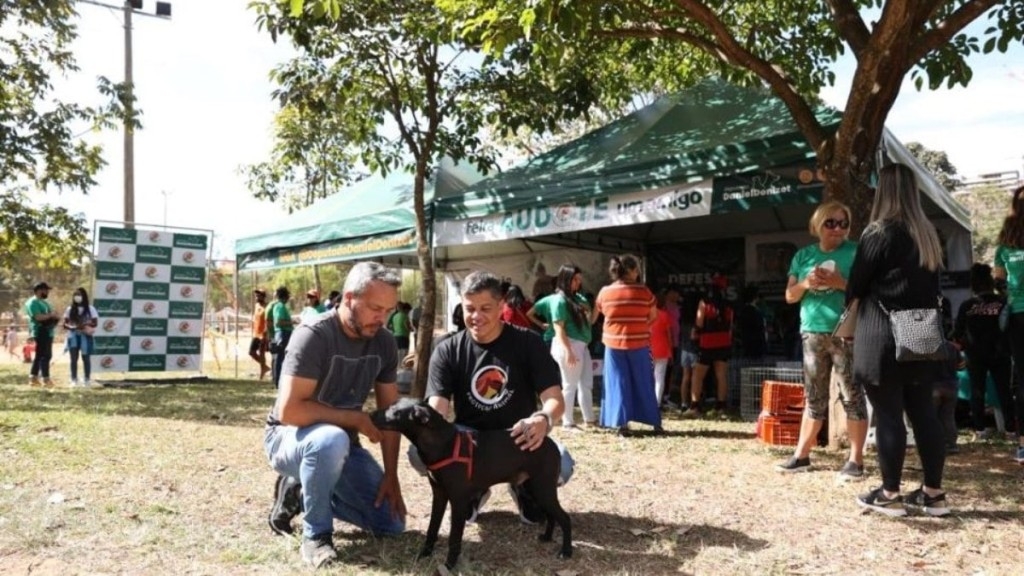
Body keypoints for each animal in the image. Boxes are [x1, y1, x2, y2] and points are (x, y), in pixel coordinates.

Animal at [372, 397, 573, 565]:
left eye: (394, 412)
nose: (371, 414)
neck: (443, 443)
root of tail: (550, 443)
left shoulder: (458, 500)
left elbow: (454, 537)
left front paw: (449, 565)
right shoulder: (439, 494)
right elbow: (432, 528)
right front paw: (425, 554)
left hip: (542, 489)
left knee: (564, 518)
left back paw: (566, 551)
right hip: (534, 489)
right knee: (552, 516)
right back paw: (547, 537)